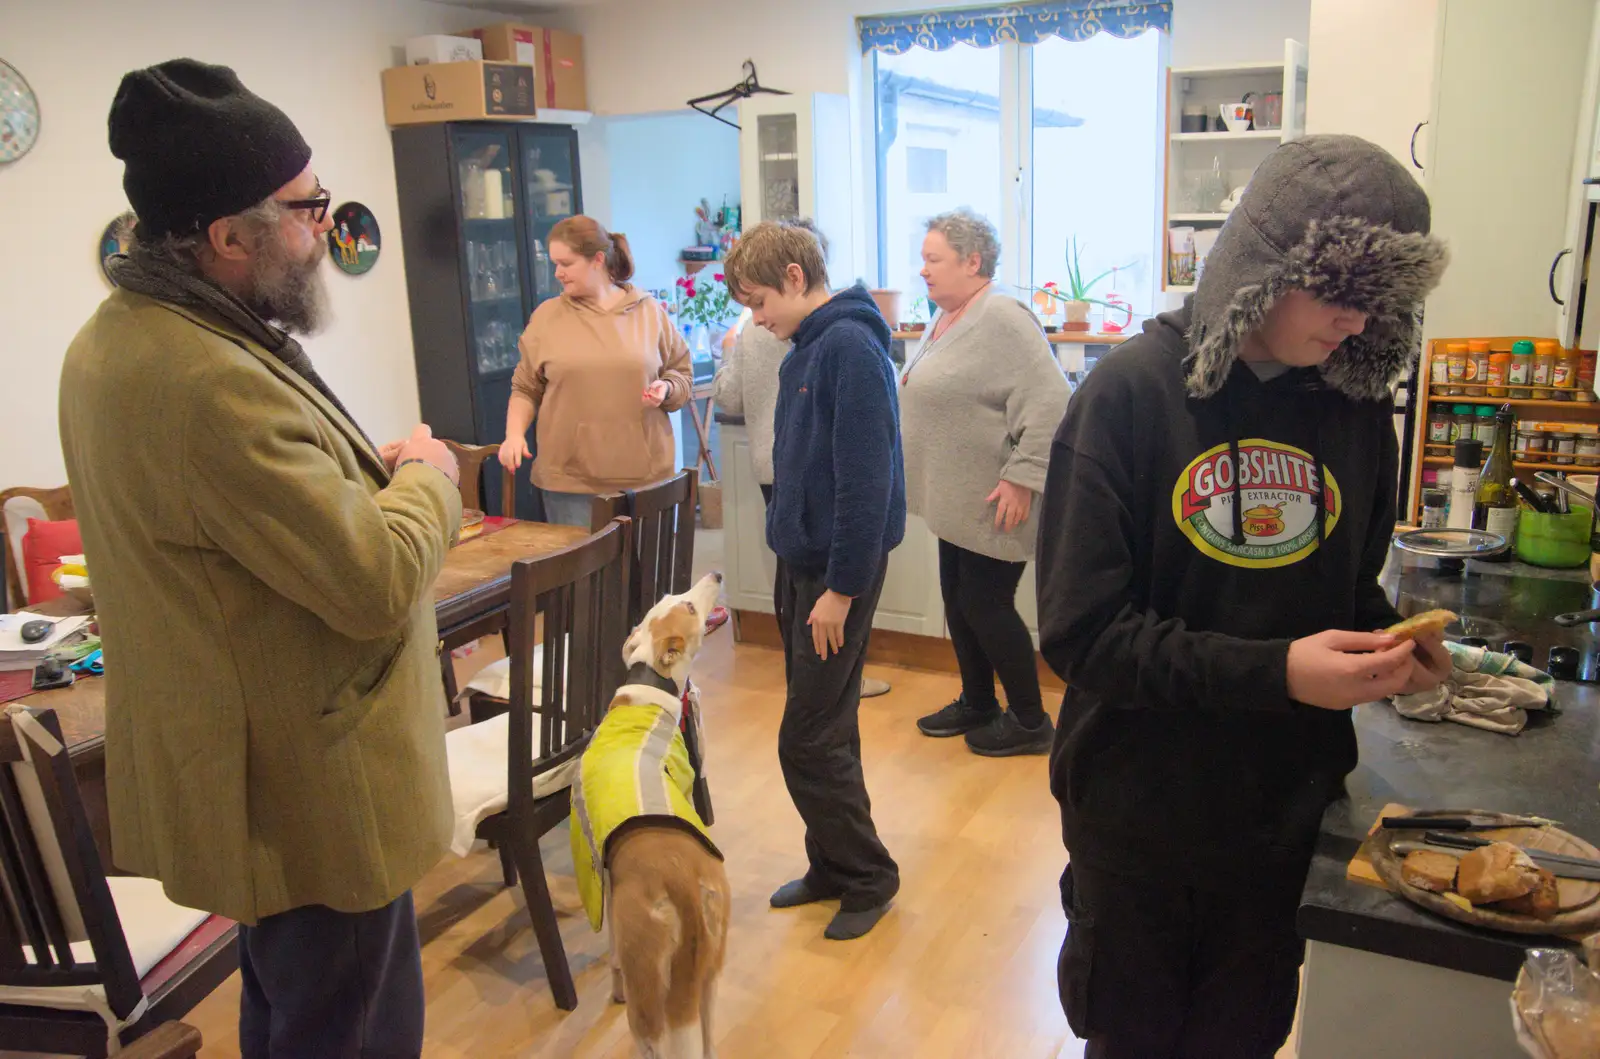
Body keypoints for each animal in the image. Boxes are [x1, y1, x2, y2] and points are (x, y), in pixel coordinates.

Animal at [579, 572, 732, 1059]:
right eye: (681, 601)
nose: (716, 574)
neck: (649, 686)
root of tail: (681, 881)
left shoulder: (604, 879)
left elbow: (610, 951)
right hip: (706, 979)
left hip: (649, 992)